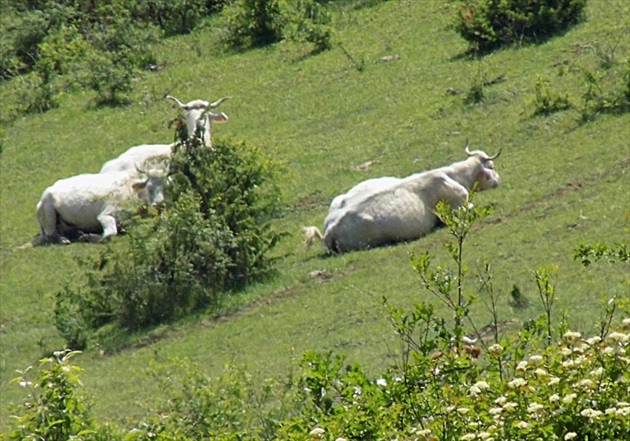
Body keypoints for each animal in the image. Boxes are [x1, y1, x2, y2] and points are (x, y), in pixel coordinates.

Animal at [21, 168, 167, 246]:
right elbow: (109, 234)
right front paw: (88, 237)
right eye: (150, 187)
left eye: (166, 185)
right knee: (50, 234)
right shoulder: (105, 214)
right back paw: (65, 240)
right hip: (49, 213)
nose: (159, 203)